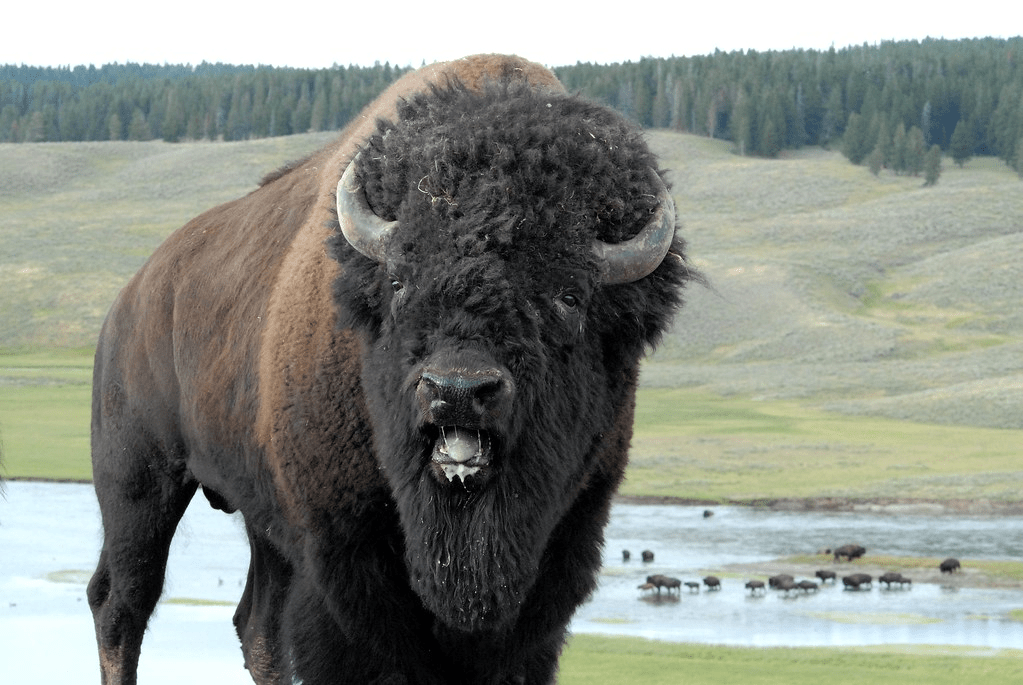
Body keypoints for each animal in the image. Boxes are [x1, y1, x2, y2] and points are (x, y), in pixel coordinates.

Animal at [86, 54, 695, 684]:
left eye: (569, 297)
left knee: (254, 627)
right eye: (400, 283)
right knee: (122, 602)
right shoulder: (342, 564)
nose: (457, 389)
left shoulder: (559, 550)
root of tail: (132, 298)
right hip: (138, 483)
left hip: (257, 515)